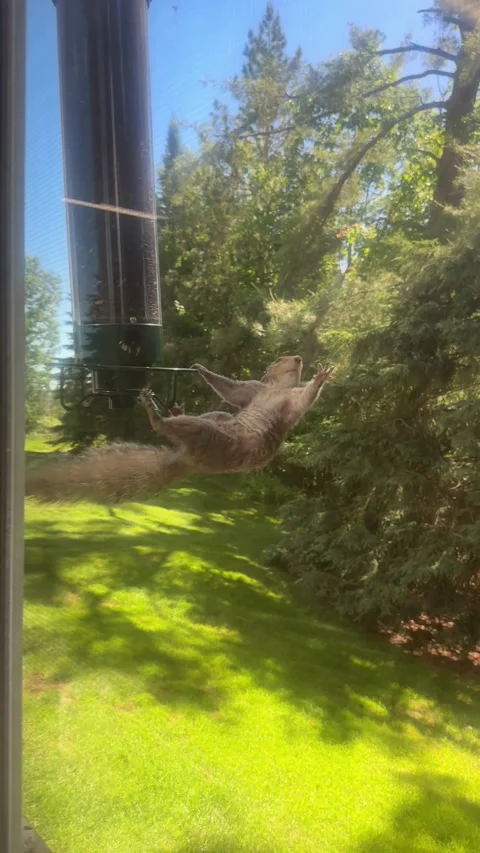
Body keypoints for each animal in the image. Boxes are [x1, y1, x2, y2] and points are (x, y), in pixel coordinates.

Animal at [26, 356, 333, 504]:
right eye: (280, 359)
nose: (298, 358)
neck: (276, 389)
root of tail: (187, 460)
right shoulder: (253, 391)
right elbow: (230, 389)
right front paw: (202, 370)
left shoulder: (289, 404)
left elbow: (305, 401)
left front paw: (320, 378)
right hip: (219, 419)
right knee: (214, 413)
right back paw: (173, 410)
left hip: (210, 437)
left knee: (162, 427)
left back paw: (157, 414)